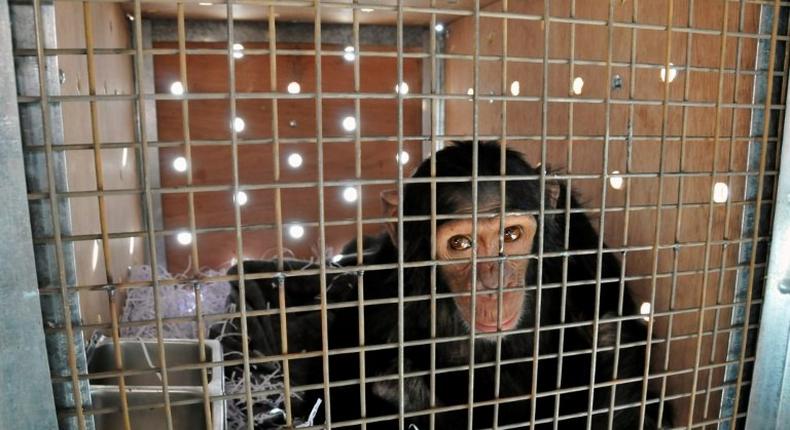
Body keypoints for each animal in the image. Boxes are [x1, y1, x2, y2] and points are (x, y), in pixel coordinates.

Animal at [221, 142, 668, 430]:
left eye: (510, 235)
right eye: (460, 244)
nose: (492, 283)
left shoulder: (582, 246)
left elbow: (618, 347)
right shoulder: (383, 300)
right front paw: (401, 391)